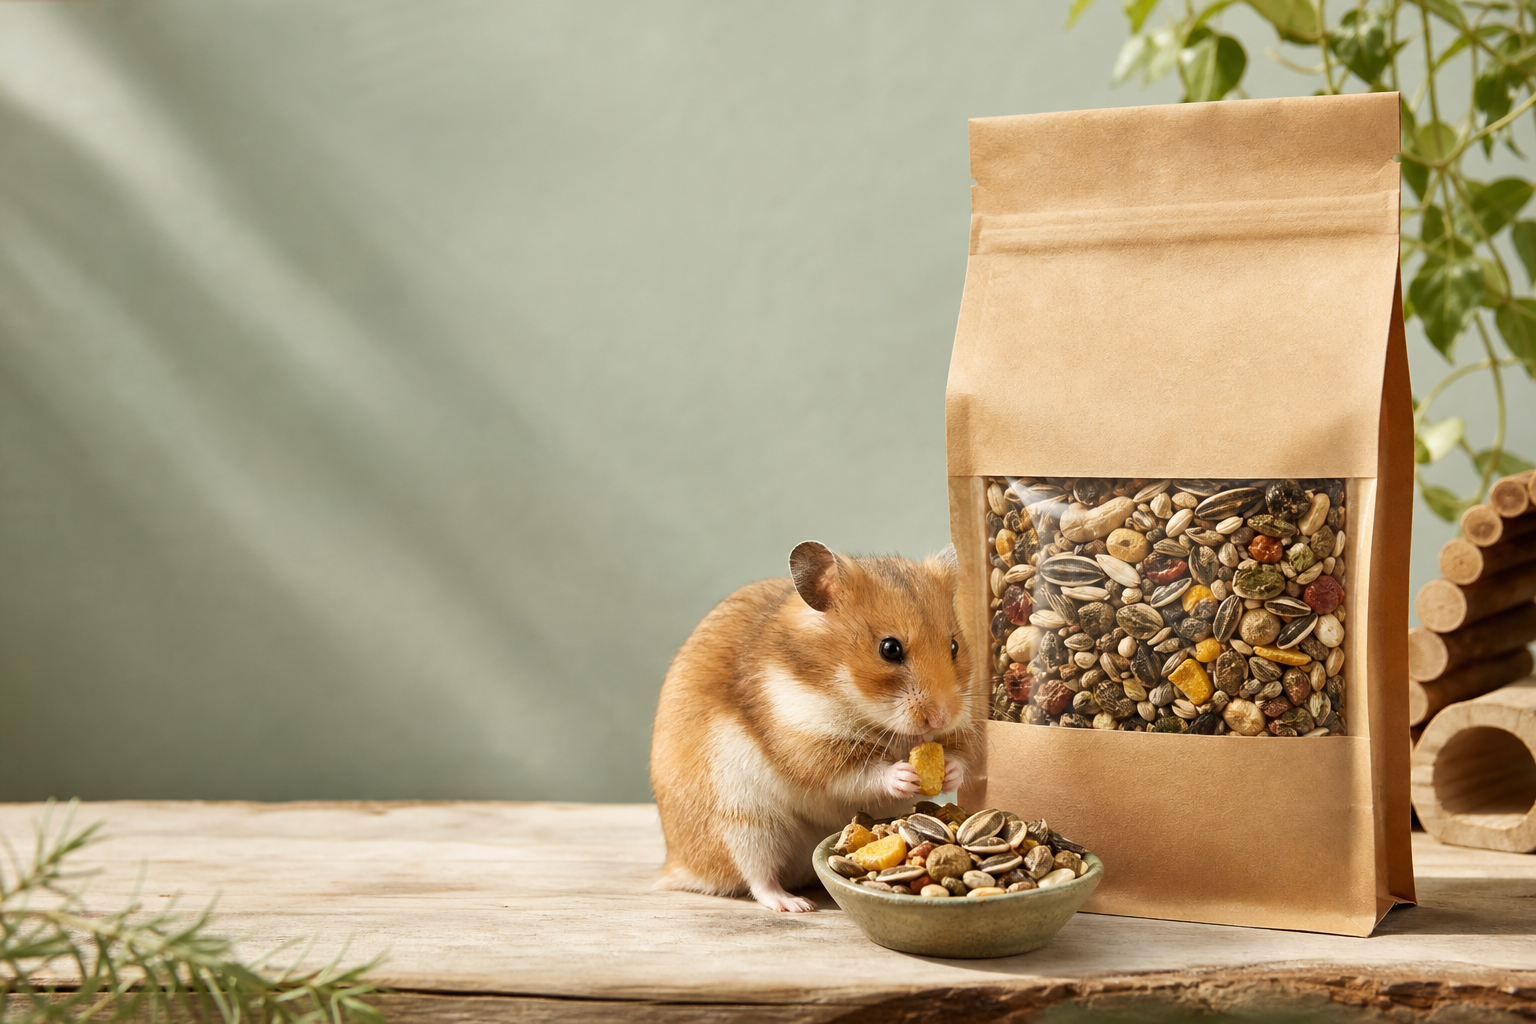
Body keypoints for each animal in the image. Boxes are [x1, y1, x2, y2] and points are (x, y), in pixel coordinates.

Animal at [650, 540, 978, 912]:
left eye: (954, 645)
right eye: (890, 649)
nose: (940, 718)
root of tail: (677, 865)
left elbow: (960, 757)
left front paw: (949, 771)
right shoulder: (808, 742)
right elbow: (860, 774)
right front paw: (904, 775)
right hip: (744, 823)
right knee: (757, 878)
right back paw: (795, 904)